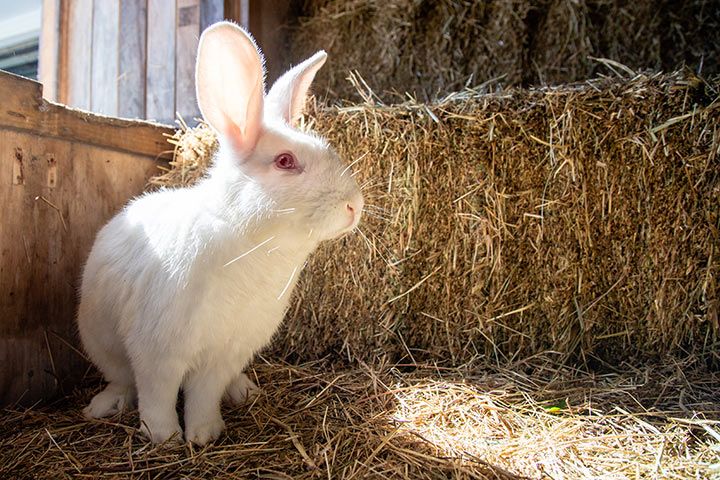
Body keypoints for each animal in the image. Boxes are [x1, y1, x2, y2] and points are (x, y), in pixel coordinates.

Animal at [76, 20, 362, 444]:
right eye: (285, 161)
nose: (354, 205)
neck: (250, 242)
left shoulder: (223, 354)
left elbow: (204, 395)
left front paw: (204, 434)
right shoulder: (158, 350)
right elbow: (158, 395)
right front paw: (164, 437)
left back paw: (242, 390)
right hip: (101, 342)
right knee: (123, 380)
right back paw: (104, 406)